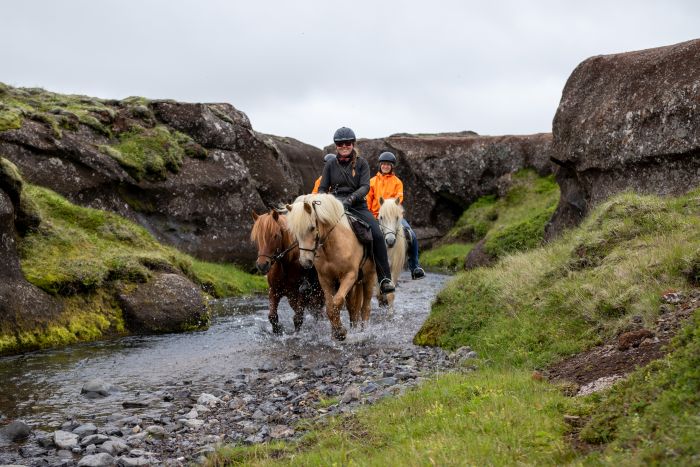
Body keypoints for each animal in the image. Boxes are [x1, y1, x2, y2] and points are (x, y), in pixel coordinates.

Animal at [286, 192, 378, 342]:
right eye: (295, 232)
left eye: (312, 227)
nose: (305, 261)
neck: (333, 244)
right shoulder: (326, 279)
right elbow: (330, 307)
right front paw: (337, 332)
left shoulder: (349, 275)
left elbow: (337, 302)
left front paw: (340, 331)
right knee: (353, 308)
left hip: (369, 278)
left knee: (365, 308)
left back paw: (364, 331)